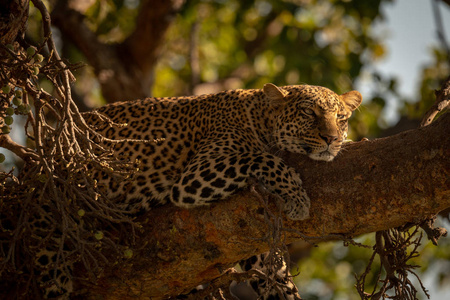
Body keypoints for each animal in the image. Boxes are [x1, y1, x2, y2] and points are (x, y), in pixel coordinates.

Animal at [36, 83, 362, 298]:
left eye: (341, 118)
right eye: (308, 113)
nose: (333, 139)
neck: (260, 117)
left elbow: (274, 272)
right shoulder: (195, 176)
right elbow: (260, 157)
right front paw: (296, 196)